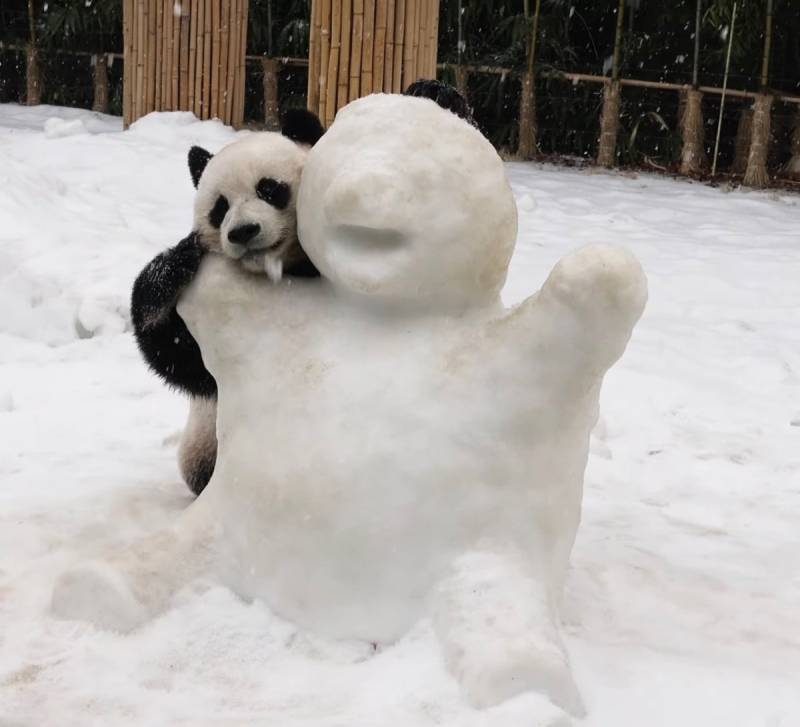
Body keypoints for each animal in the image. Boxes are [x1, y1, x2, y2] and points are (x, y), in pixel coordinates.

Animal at [130, 109, 324, 494]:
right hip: (204, 440)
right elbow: (182, 359)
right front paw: (174, 264)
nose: (243, 232)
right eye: (220, 208)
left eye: (269, 189)